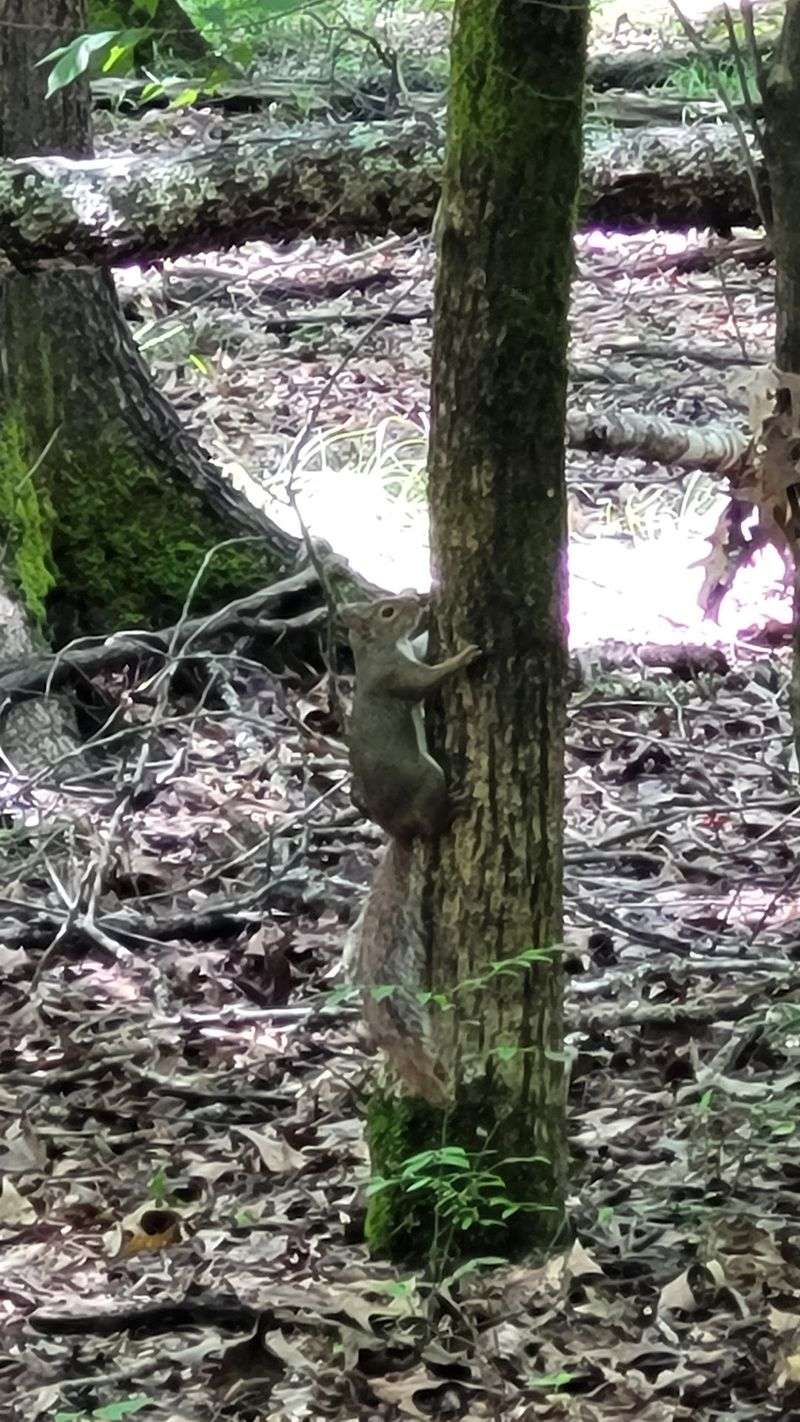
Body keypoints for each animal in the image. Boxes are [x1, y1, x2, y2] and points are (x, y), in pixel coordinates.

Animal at [339, 591, 481, 1102]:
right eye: (385, 611)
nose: (417, 598)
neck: (379, 650)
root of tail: (399, 830)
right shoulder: (397, 678)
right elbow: (426, 681)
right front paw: (462, 657)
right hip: (428, 777)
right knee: (434, 822)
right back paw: (451, 809)